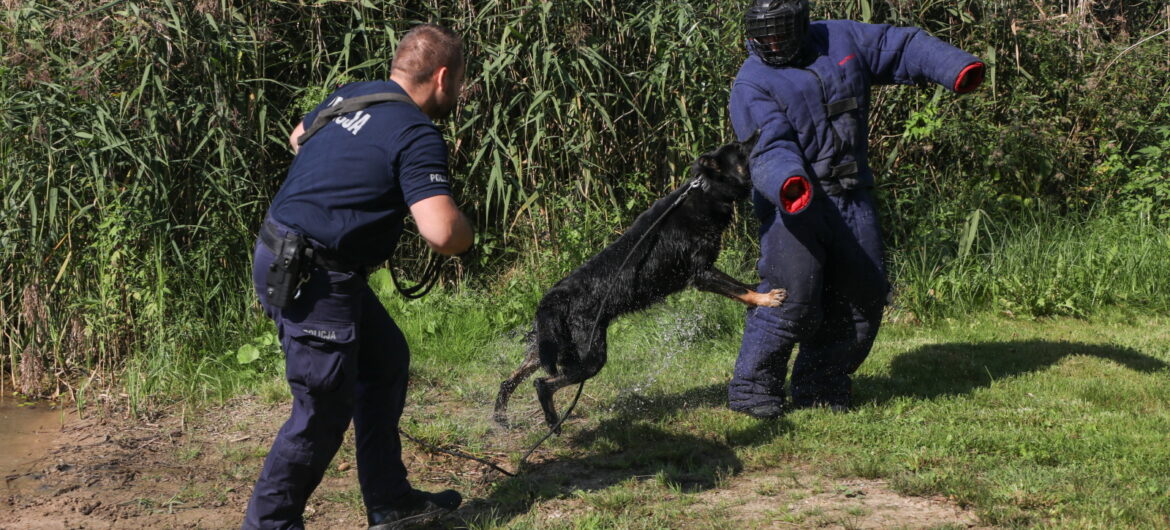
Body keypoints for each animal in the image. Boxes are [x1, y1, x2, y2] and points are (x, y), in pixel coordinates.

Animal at [493, 133, 786, 430]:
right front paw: (766, 299)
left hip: (546, 348)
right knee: (542, 383)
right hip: (589, 357)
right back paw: (552, 421)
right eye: (739, 149)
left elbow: (741, 286)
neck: (705, 190)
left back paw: (501, 417)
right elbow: (738, 288)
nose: (759, 133)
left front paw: (758, 295)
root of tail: (552, 299)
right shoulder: (702, 274)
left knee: (509, 379)